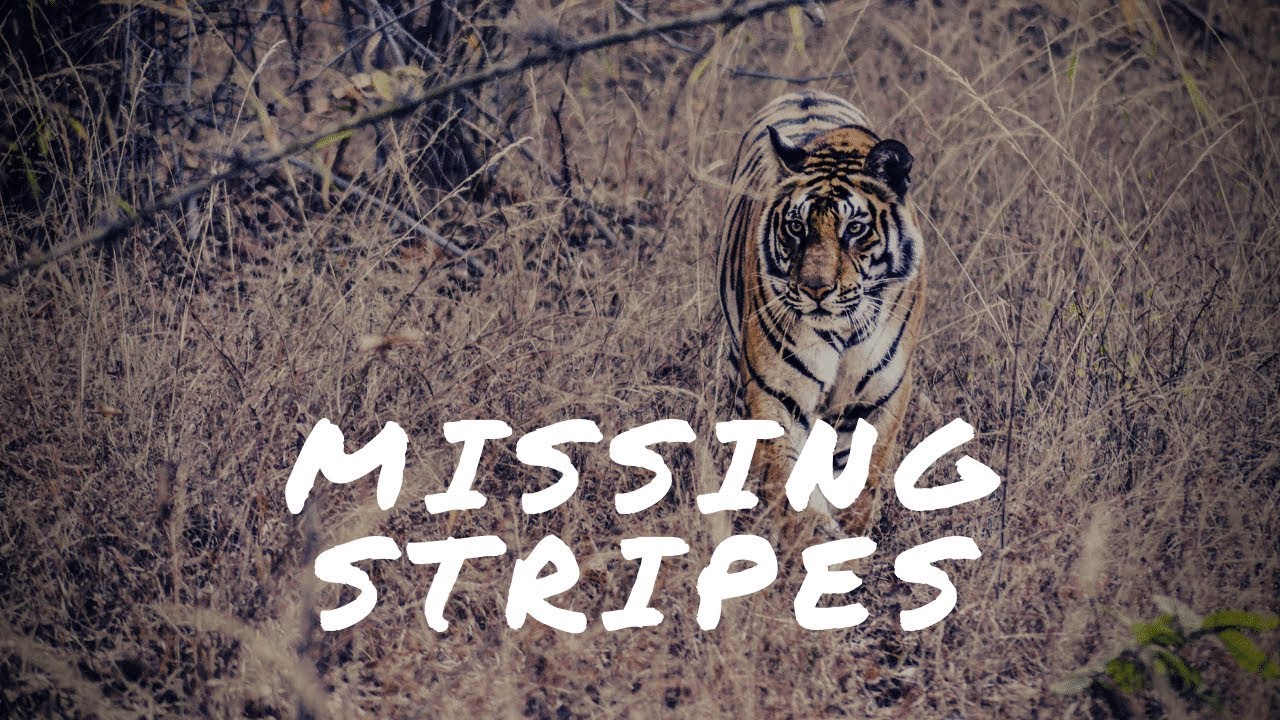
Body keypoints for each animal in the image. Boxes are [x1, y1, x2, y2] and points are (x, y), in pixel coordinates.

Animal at [717, 89, 926, 536]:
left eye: (854, 229)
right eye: (796, 227)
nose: (815, 290)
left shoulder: (880, 398)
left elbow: (861, 484)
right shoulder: (777, 391)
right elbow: (792, 486)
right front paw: (814, 534)